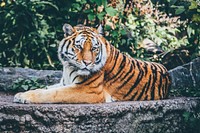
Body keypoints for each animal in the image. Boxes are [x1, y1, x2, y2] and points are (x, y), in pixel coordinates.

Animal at [13, 23, 171, 103]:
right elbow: (46, 88)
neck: (68, 67)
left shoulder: (88, 90)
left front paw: (23, 97)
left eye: (94, 48)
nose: (87, 63)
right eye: (79, 47)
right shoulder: (65, 83)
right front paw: (21, 93)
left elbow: (52, 93)